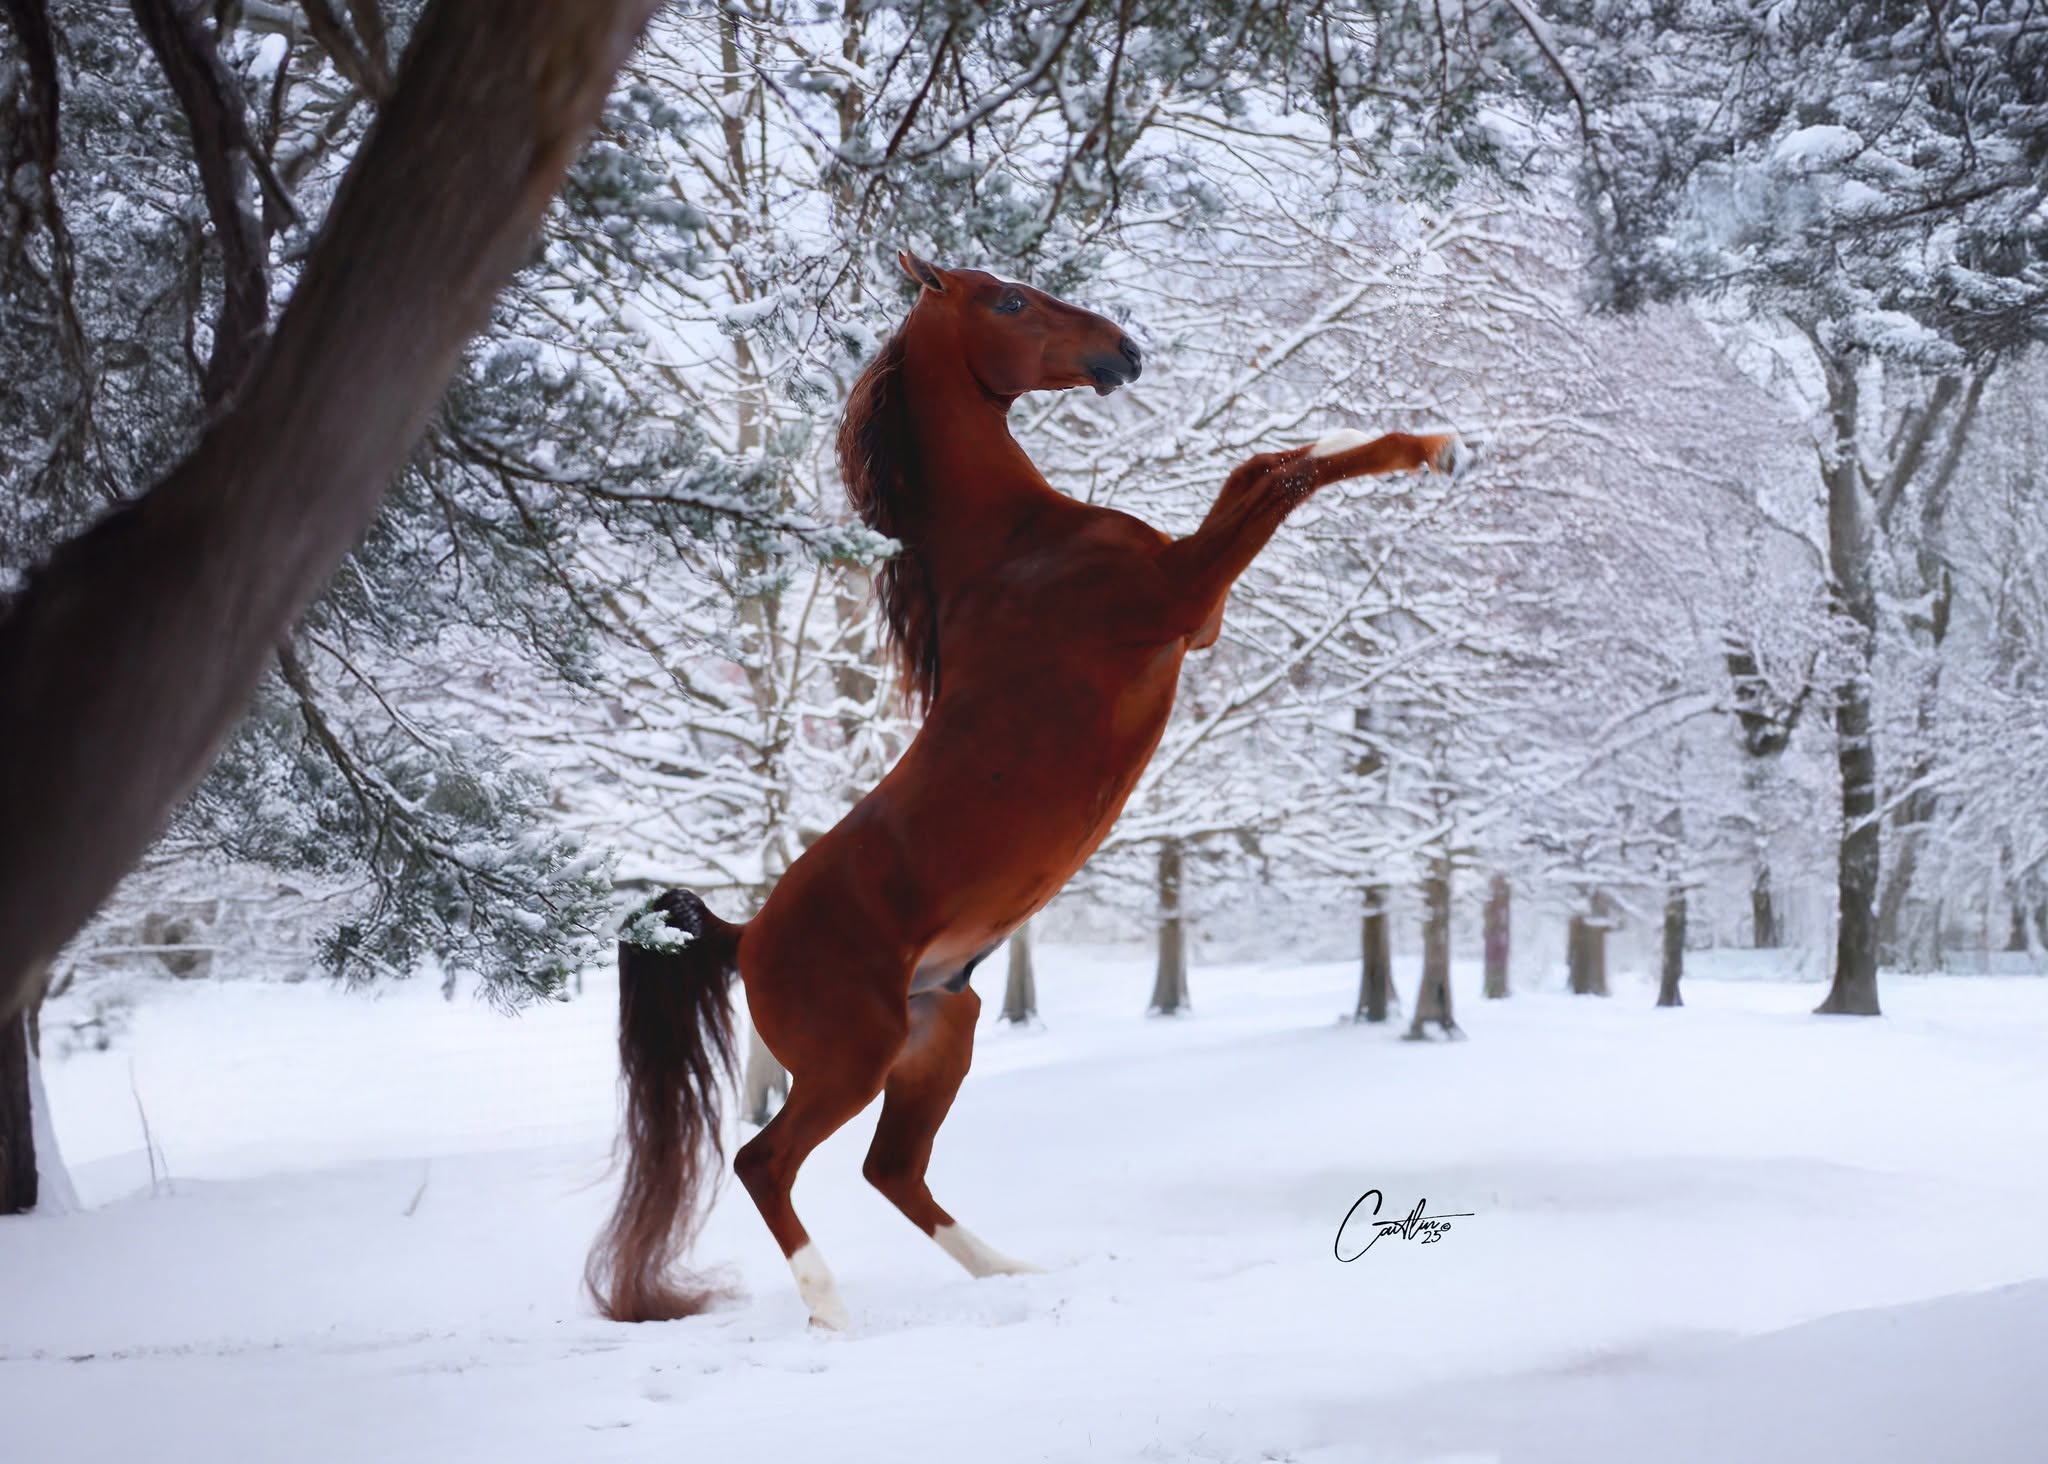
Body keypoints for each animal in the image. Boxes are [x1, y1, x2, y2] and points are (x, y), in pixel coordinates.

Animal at [587, 250, 1468, 1330]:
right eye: (1006, 300)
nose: (1124, 351)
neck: (1018, 546)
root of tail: (743, 935)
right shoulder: (1183, 597)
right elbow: (1273, 472)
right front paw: (1435, 447)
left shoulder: (1199, 614)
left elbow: (1264, 462)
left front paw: (1419, 439)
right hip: (852, 1057)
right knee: (766, 1161)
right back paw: (832, 1312)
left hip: (939, 1037)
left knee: (891, 1169)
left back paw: (1011, 1273)